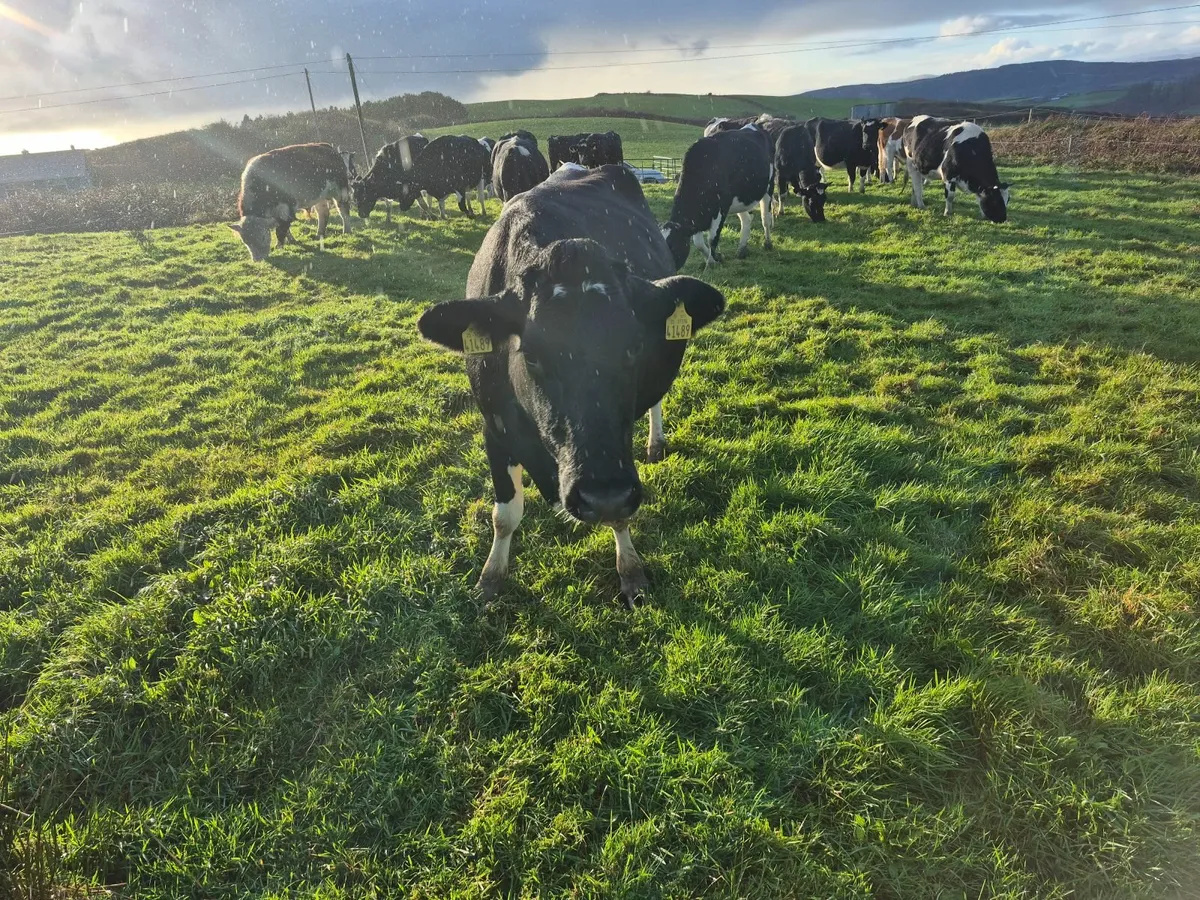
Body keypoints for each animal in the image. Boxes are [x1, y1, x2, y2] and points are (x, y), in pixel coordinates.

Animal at [356, 134, 490, 220]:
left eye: (364, 196)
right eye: (355, 197)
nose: (361, 214)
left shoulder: (459, 186)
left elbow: (460, 205)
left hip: (480, 179)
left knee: (479, 197)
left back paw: (481, 211)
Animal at [416, 163, 726, 606]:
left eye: (634, 348)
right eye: (530, 355)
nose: (601, 494)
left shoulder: (617, 458)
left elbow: (621, 516)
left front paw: (630, 570)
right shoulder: (493, 426)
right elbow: (504, 515)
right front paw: (491, 579)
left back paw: (655, 442)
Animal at [661, 127, 775, 269]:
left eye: (673, 246)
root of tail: (754, 126)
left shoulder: (721, 209)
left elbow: (712, 239)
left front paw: (711, 262)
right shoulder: (698, 216)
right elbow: (698, 243)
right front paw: (716, 258)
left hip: (769, 188)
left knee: (766, 218)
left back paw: (768, 243)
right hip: (740, 198)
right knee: (747, 219)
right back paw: (742, 249)